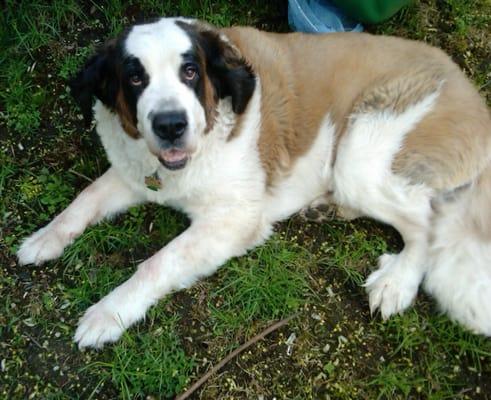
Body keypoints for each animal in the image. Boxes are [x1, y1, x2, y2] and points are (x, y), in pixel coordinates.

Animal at [17, 17, 491, 348]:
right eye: (135, 77)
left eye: (190, 71)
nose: (170, 125)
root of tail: (472, 95)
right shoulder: (136, 174)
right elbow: (86, 197)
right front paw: (44, 238)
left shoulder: (234, 220)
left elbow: (158, 263)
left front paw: (108, 313)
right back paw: (326, 207)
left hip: (364, 151)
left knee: (427, 222)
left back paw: (397, 282)